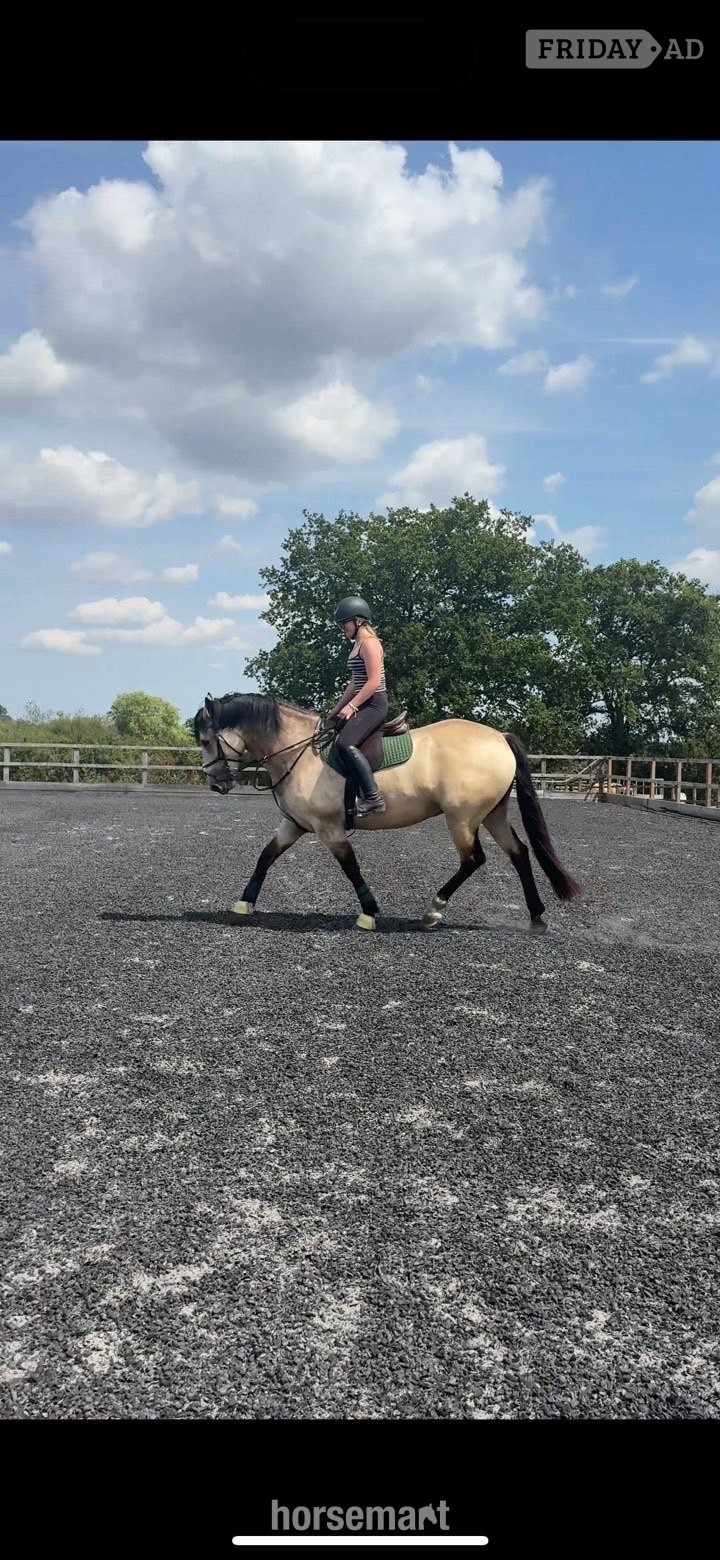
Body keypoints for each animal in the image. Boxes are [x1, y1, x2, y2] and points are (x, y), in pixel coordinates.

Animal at [192, 691, 581, 933]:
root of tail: (499, 737)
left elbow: (350, 867)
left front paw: (369, 913)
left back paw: (433, 910)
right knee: (519, 854)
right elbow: (265, 857)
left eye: (207, 740)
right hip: (491, 814)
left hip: (462, 818)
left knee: (473, 859)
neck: (299, 752)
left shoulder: (329, 829)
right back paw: (536, 917)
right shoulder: (294, 824)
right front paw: (244, 903)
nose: (216, 784)